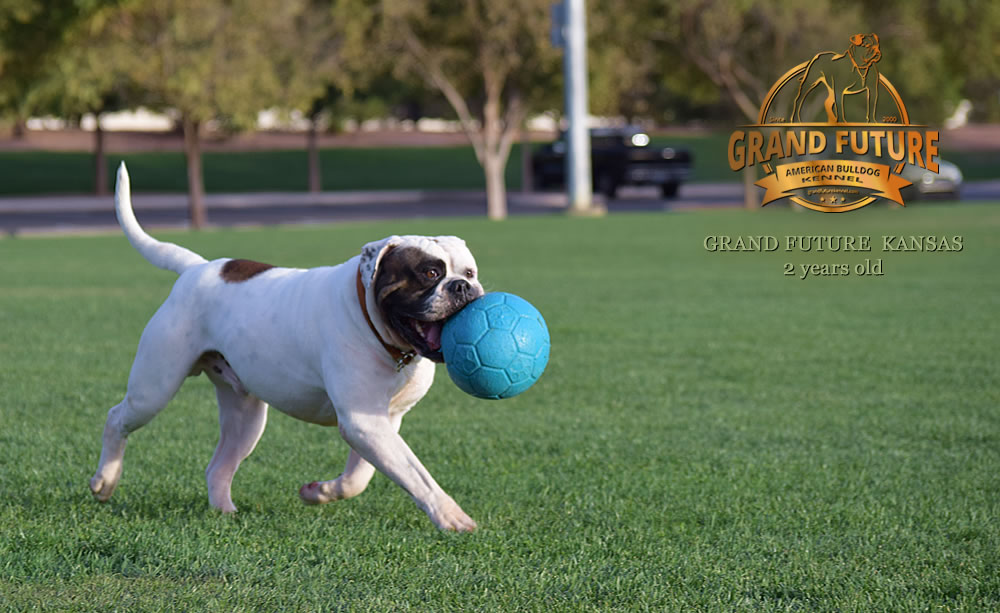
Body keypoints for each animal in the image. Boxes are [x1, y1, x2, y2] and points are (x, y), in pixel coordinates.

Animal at [90, 164, 484, 532]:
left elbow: (359, 477)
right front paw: (452, 517)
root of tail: (197, 268)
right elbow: (417, 475)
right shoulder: (365, 422)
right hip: (154, 389)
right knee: (116, 418)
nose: (463, 287)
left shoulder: (380, 421)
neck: (380, 330)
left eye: (470, 272)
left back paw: (225, 512)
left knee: (218, 467)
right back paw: (104, 481)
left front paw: (319, 492)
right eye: (430, 273)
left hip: (245, 418)